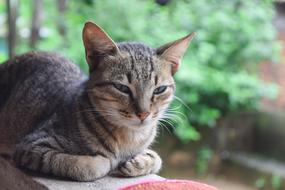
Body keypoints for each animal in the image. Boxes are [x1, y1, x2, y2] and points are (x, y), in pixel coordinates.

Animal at [0, 21, 194, 182]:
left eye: (159, 89)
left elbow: (156, 158)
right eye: (122, 88)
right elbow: (85, 165)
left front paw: (139, 162)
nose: (143, 113)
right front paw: (105, 162)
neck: (129, 139)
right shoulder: (32, 146)